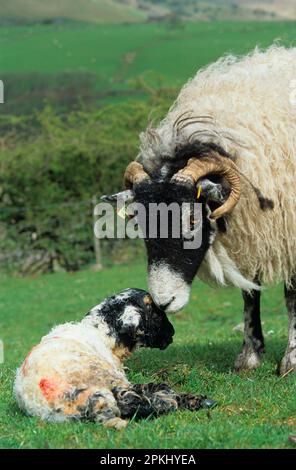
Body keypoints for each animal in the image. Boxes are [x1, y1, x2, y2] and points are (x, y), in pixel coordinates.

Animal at [14, 286, 215, 430]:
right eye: (156, 313)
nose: (172, 332)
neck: (100, 333)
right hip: (105, 380)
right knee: (142, 401)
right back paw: (199, 401)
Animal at [103, 45, 296, 374]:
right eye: (140, 225)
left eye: (192, 220)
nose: (163, 301)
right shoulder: (250, 232)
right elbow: (249, 293)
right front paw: (249, 355)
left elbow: (291, 296)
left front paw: (291, 359)